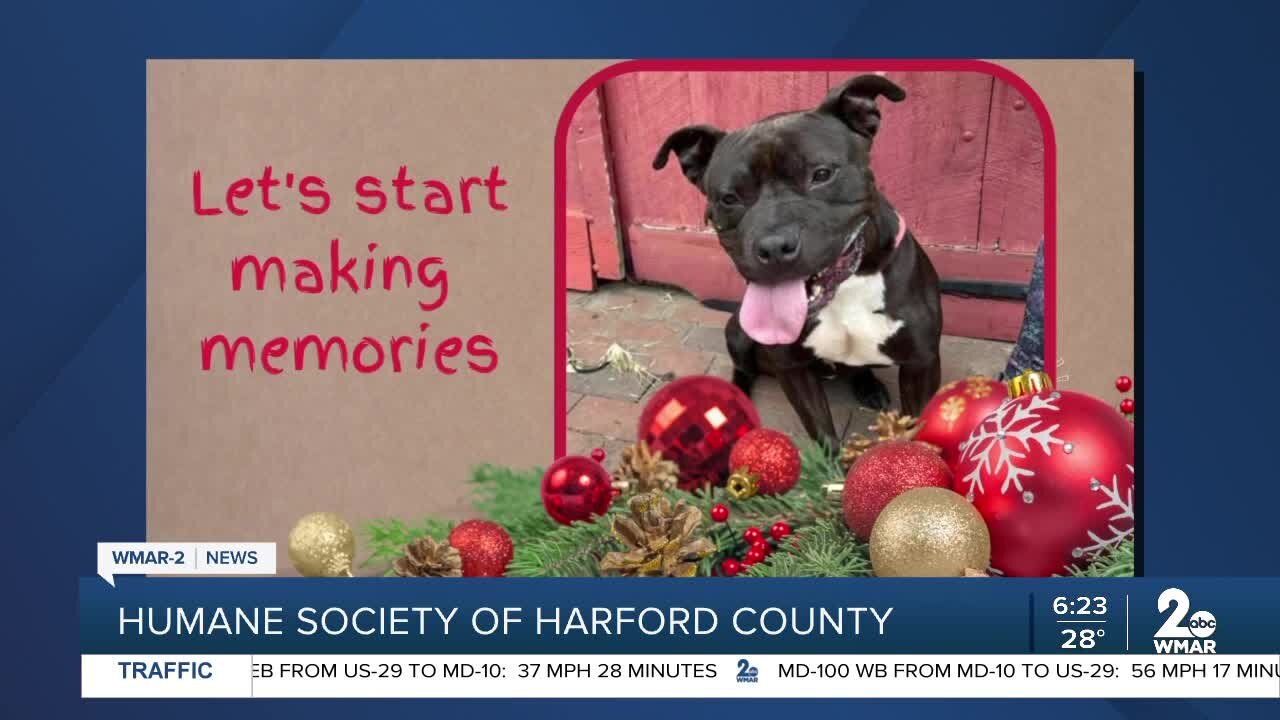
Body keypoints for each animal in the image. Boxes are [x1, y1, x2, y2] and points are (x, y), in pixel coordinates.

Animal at [660, 74, 942, 443]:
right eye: (729, 198)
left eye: (821, 174)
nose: (774, 247)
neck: (846, 290)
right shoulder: (793, 370)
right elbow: (822, 434)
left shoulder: (922, 364)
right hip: (738, 332)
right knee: (742, 367)